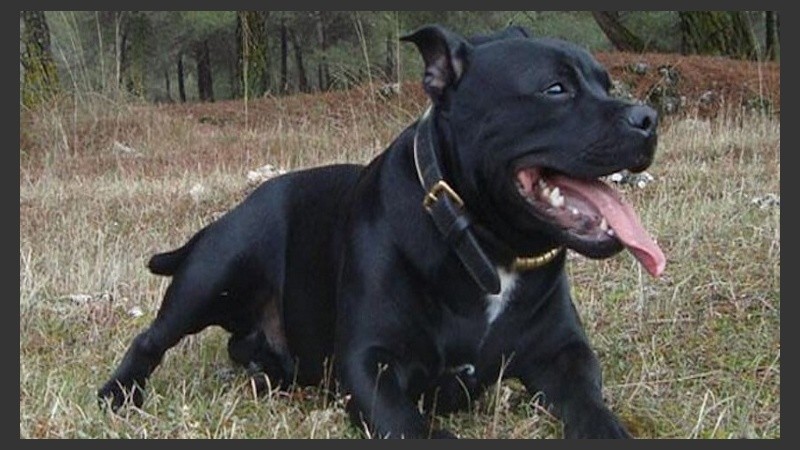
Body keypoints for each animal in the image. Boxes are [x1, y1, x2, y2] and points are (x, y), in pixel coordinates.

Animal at [98, 25, 664, 440]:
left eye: (605, 83)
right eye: (555, 88)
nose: (648, 117)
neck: (483, 246)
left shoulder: (564, 355)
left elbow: (591, 407)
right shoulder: (371, 365)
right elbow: (417, 429)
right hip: (215, 270)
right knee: (150, 339)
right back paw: (118, 394)